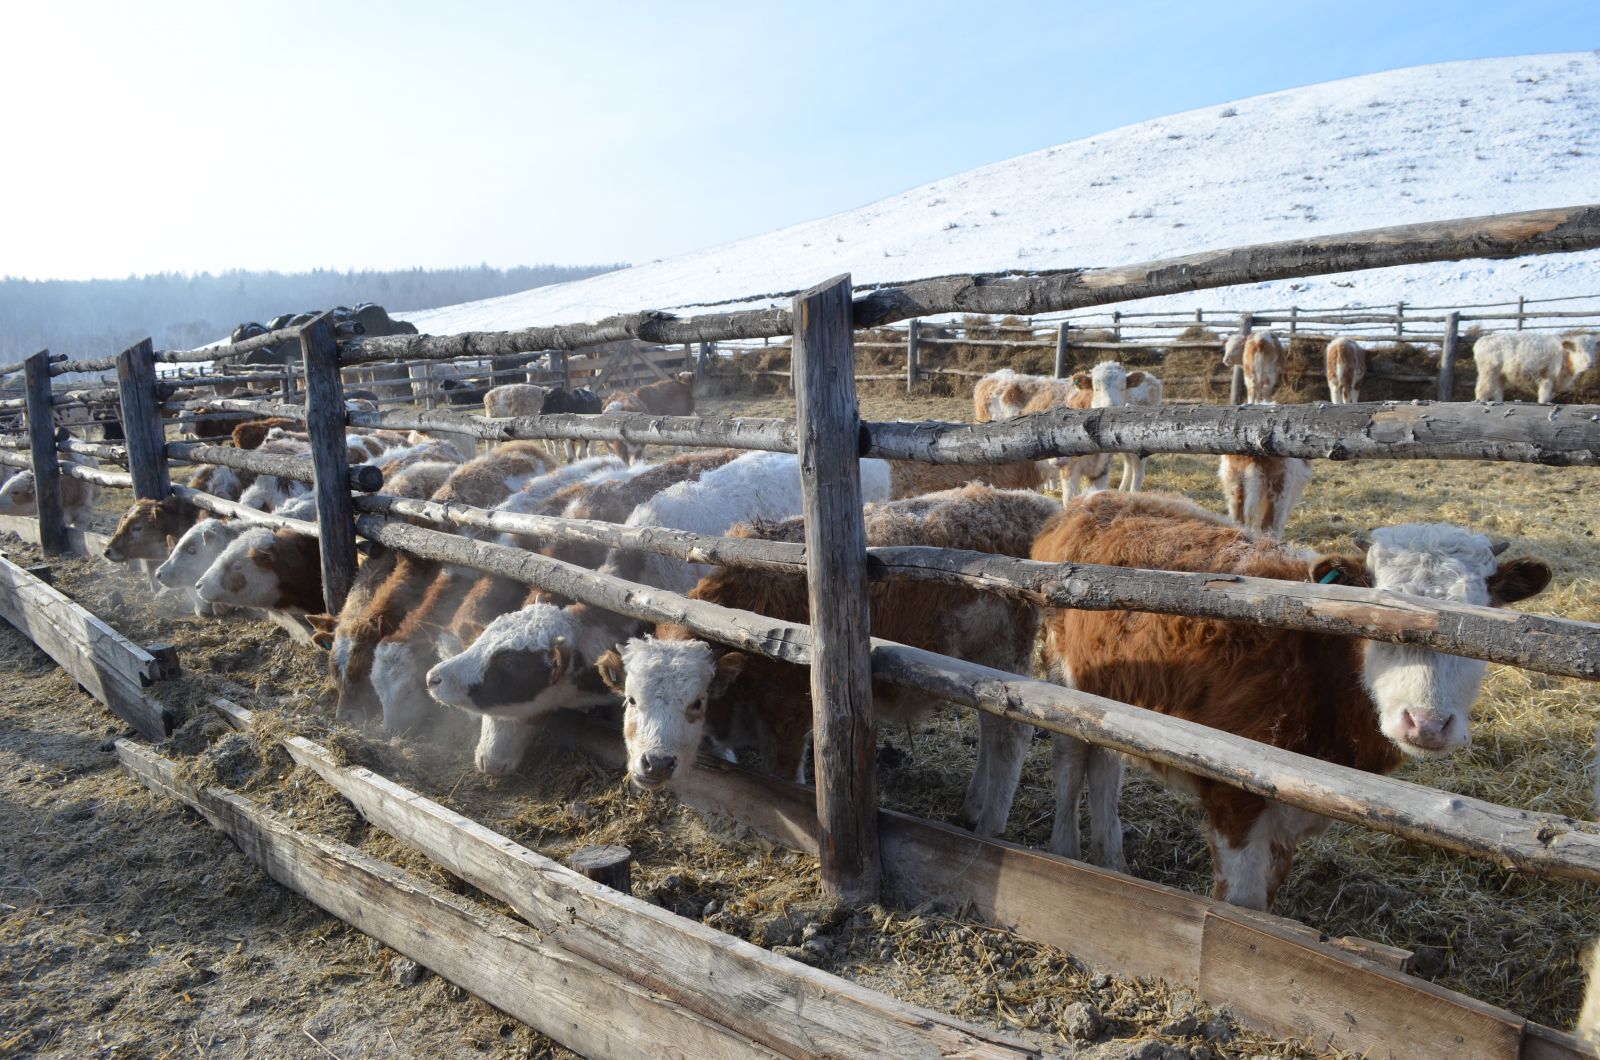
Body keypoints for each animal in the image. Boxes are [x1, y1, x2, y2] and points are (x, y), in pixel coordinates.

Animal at [601, 480, 1062, 839]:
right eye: (631, 700)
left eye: (695, 701)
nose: (656, 763)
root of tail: (1027, 502)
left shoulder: (788, 719)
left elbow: (785, 783)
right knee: (990, 727)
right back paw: (972, 808)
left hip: (1005, 655)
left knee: (1009, 735)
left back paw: (989, 827)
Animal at [1036, 493, 1548, 915]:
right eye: (1379, 620)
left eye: (1481, 623)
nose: (1425, 723)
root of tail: (1092, 501)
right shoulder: (1234, 798)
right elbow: (1240, 906)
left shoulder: (1289, 816)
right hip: (1061, 675)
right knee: (1070, 759)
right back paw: (1065, 850)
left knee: (1104, 762)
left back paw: (1111, 861)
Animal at [1472, 329, 1600, 405]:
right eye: (1579, 350)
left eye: (1594, 350)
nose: (1590, 364)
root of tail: (1484, 339)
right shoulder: (1547, 379)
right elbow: (1544, 398)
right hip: (1488, 373)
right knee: (1482, 390)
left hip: (1500, 376)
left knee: (1498, 393)